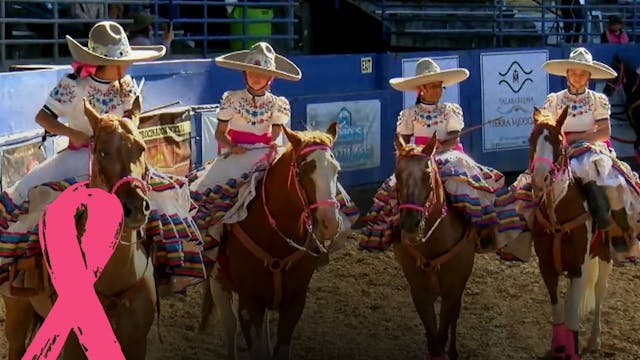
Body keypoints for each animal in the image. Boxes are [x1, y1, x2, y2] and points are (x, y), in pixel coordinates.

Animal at [2, 96, 158, 360]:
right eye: (102, 151)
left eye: (142, 148)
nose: (135, 207)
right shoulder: (74, 347)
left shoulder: (137, 342)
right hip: (16, 313)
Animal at [209, 124, 344, 360]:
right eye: (304, 170)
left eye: (336, 169)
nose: (330, 222)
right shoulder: (249, 305)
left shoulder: (294, 303)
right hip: (217, 282)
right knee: (230, 326)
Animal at [390, 134, 476, 360]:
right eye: (397, 174)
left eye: (427, 175)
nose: (410, 222)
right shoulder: (419, 292)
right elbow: (433, 339)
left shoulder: (452, 291)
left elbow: (443, 332)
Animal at [528, 105, 612, 358]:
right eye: (530, 139)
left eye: (559, 140)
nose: (540, 178)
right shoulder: (547, 267)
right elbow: (558, 310)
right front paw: (558, 347)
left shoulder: (578, 269)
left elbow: (573, 314)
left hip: (605, 255)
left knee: (600, 291)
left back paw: (594, 340)